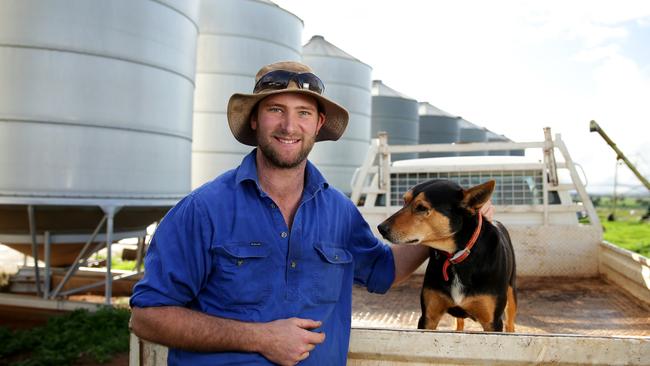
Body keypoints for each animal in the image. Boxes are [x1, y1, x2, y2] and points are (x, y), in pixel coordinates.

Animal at [378, 179, 512, 332]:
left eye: (421, 208)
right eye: (404, 201)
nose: (380, 228)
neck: (455, 257)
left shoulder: (492, 323)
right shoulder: (428, 317)